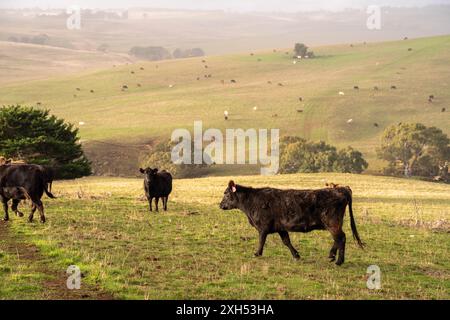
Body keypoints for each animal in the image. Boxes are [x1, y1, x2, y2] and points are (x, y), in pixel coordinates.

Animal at [221, 180, 366, 264]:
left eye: (226, 194)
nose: (220, 205)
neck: (252, 201)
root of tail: (340, 189)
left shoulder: (263, 227)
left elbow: (261, 241)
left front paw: (257, 253)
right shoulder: (280, 228)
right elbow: (287, 241)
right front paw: (296, 255)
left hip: (332, 223)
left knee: (341, 238)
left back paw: (338, 260)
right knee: (339, 239)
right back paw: (332, 256)